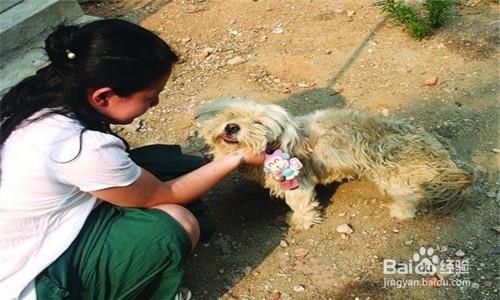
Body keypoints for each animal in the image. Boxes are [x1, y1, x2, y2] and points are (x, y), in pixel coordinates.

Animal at [195, 99, 472, 229]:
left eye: (258, 123)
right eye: (230, 115)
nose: (231, 127)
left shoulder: (298, 183)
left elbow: (302, 204)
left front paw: (300, 221)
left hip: (396, 178)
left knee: (413, 196)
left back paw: (401, 210)